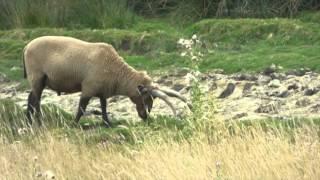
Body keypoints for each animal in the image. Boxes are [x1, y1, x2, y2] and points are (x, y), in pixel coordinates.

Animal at [23, 35, 192, 126]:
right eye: (145, 97)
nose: (145, 117)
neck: (116, 71)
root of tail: (26, 47)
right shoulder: (88, 88)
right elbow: (82, 108)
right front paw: (74, 123)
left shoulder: (102, 91)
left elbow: (104, 107)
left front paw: (107, 123)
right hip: (37, 76)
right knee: (36, 100)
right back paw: (39, 121)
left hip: (39, 80)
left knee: (31, 98)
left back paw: (29, 120)